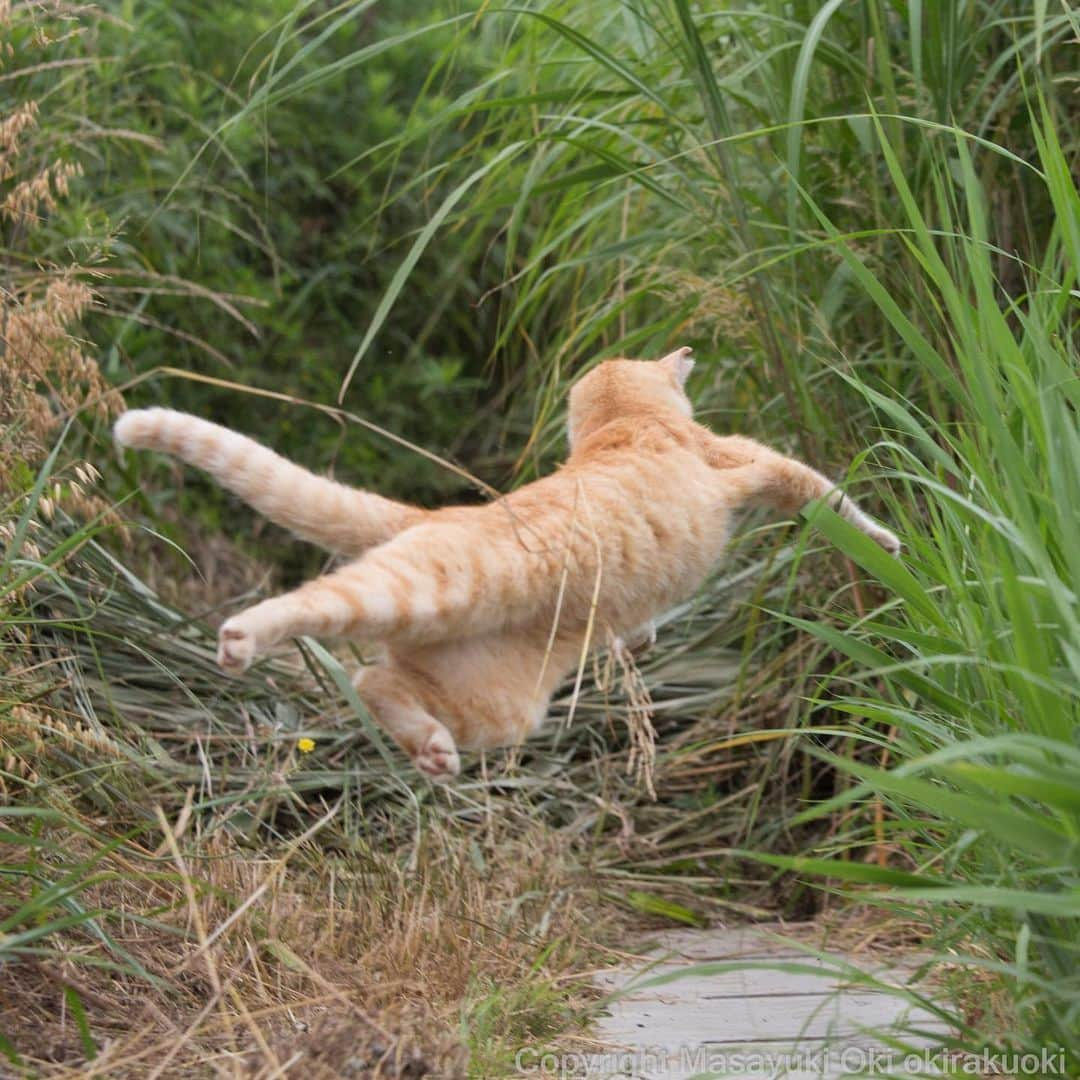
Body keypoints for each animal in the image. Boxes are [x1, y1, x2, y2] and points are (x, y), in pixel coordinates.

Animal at [113, 349, 898, 781]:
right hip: (419, 591)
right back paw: (240, 638)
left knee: (375, 681)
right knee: (319, 611)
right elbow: (827, 493)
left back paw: (431, 753)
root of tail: (435, 515)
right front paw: (889, 543)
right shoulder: (752, 462)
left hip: (496, 703)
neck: (622, 426)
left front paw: (640, 639)